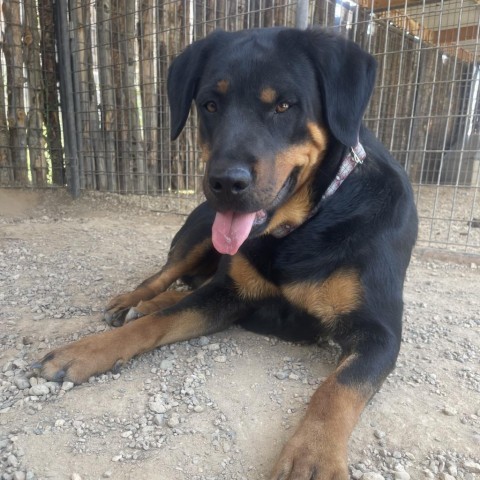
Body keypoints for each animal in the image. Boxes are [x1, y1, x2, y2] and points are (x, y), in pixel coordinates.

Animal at [34, 28, 416, 478]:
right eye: (210, 105)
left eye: (284, 105)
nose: (225, 183)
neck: (303, 225)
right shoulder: (229, 293)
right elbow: (161, 321)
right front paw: (86, 350)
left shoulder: (379, 332)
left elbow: (336, 388)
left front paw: (313, 454)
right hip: (200, 231)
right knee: (164, 276)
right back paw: (134, 301)